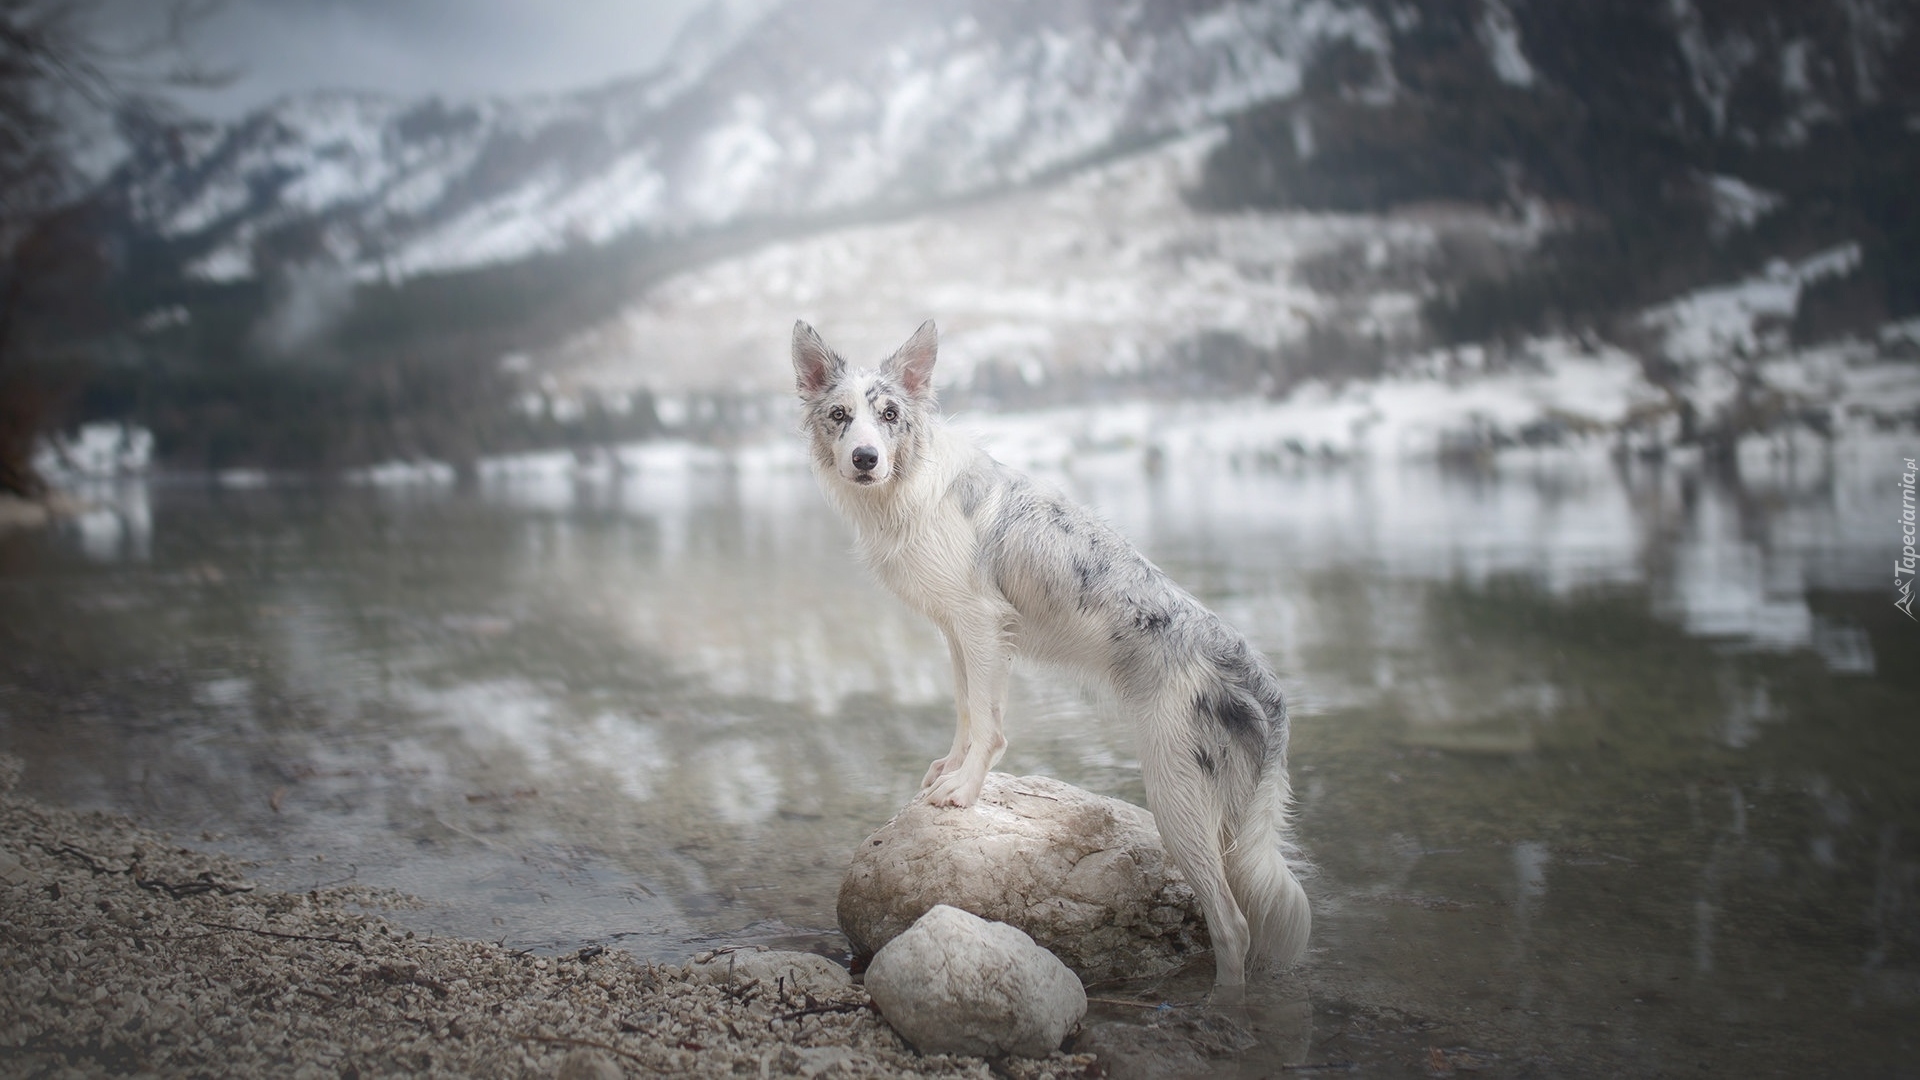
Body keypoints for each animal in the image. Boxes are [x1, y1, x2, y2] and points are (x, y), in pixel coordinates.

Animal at [791, 315, 1305, 980]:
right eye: (839, 414)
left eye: (889, 414)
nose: (864, 458)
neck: (908, 483)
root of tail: (1259, 678)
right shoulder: (959, 630)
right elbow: (966, 711)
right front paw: (949, 772)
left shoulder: (982, 624)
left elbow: (987, 724)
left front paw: (962, 791)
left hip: (1179, 798)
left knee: (1233, 927)